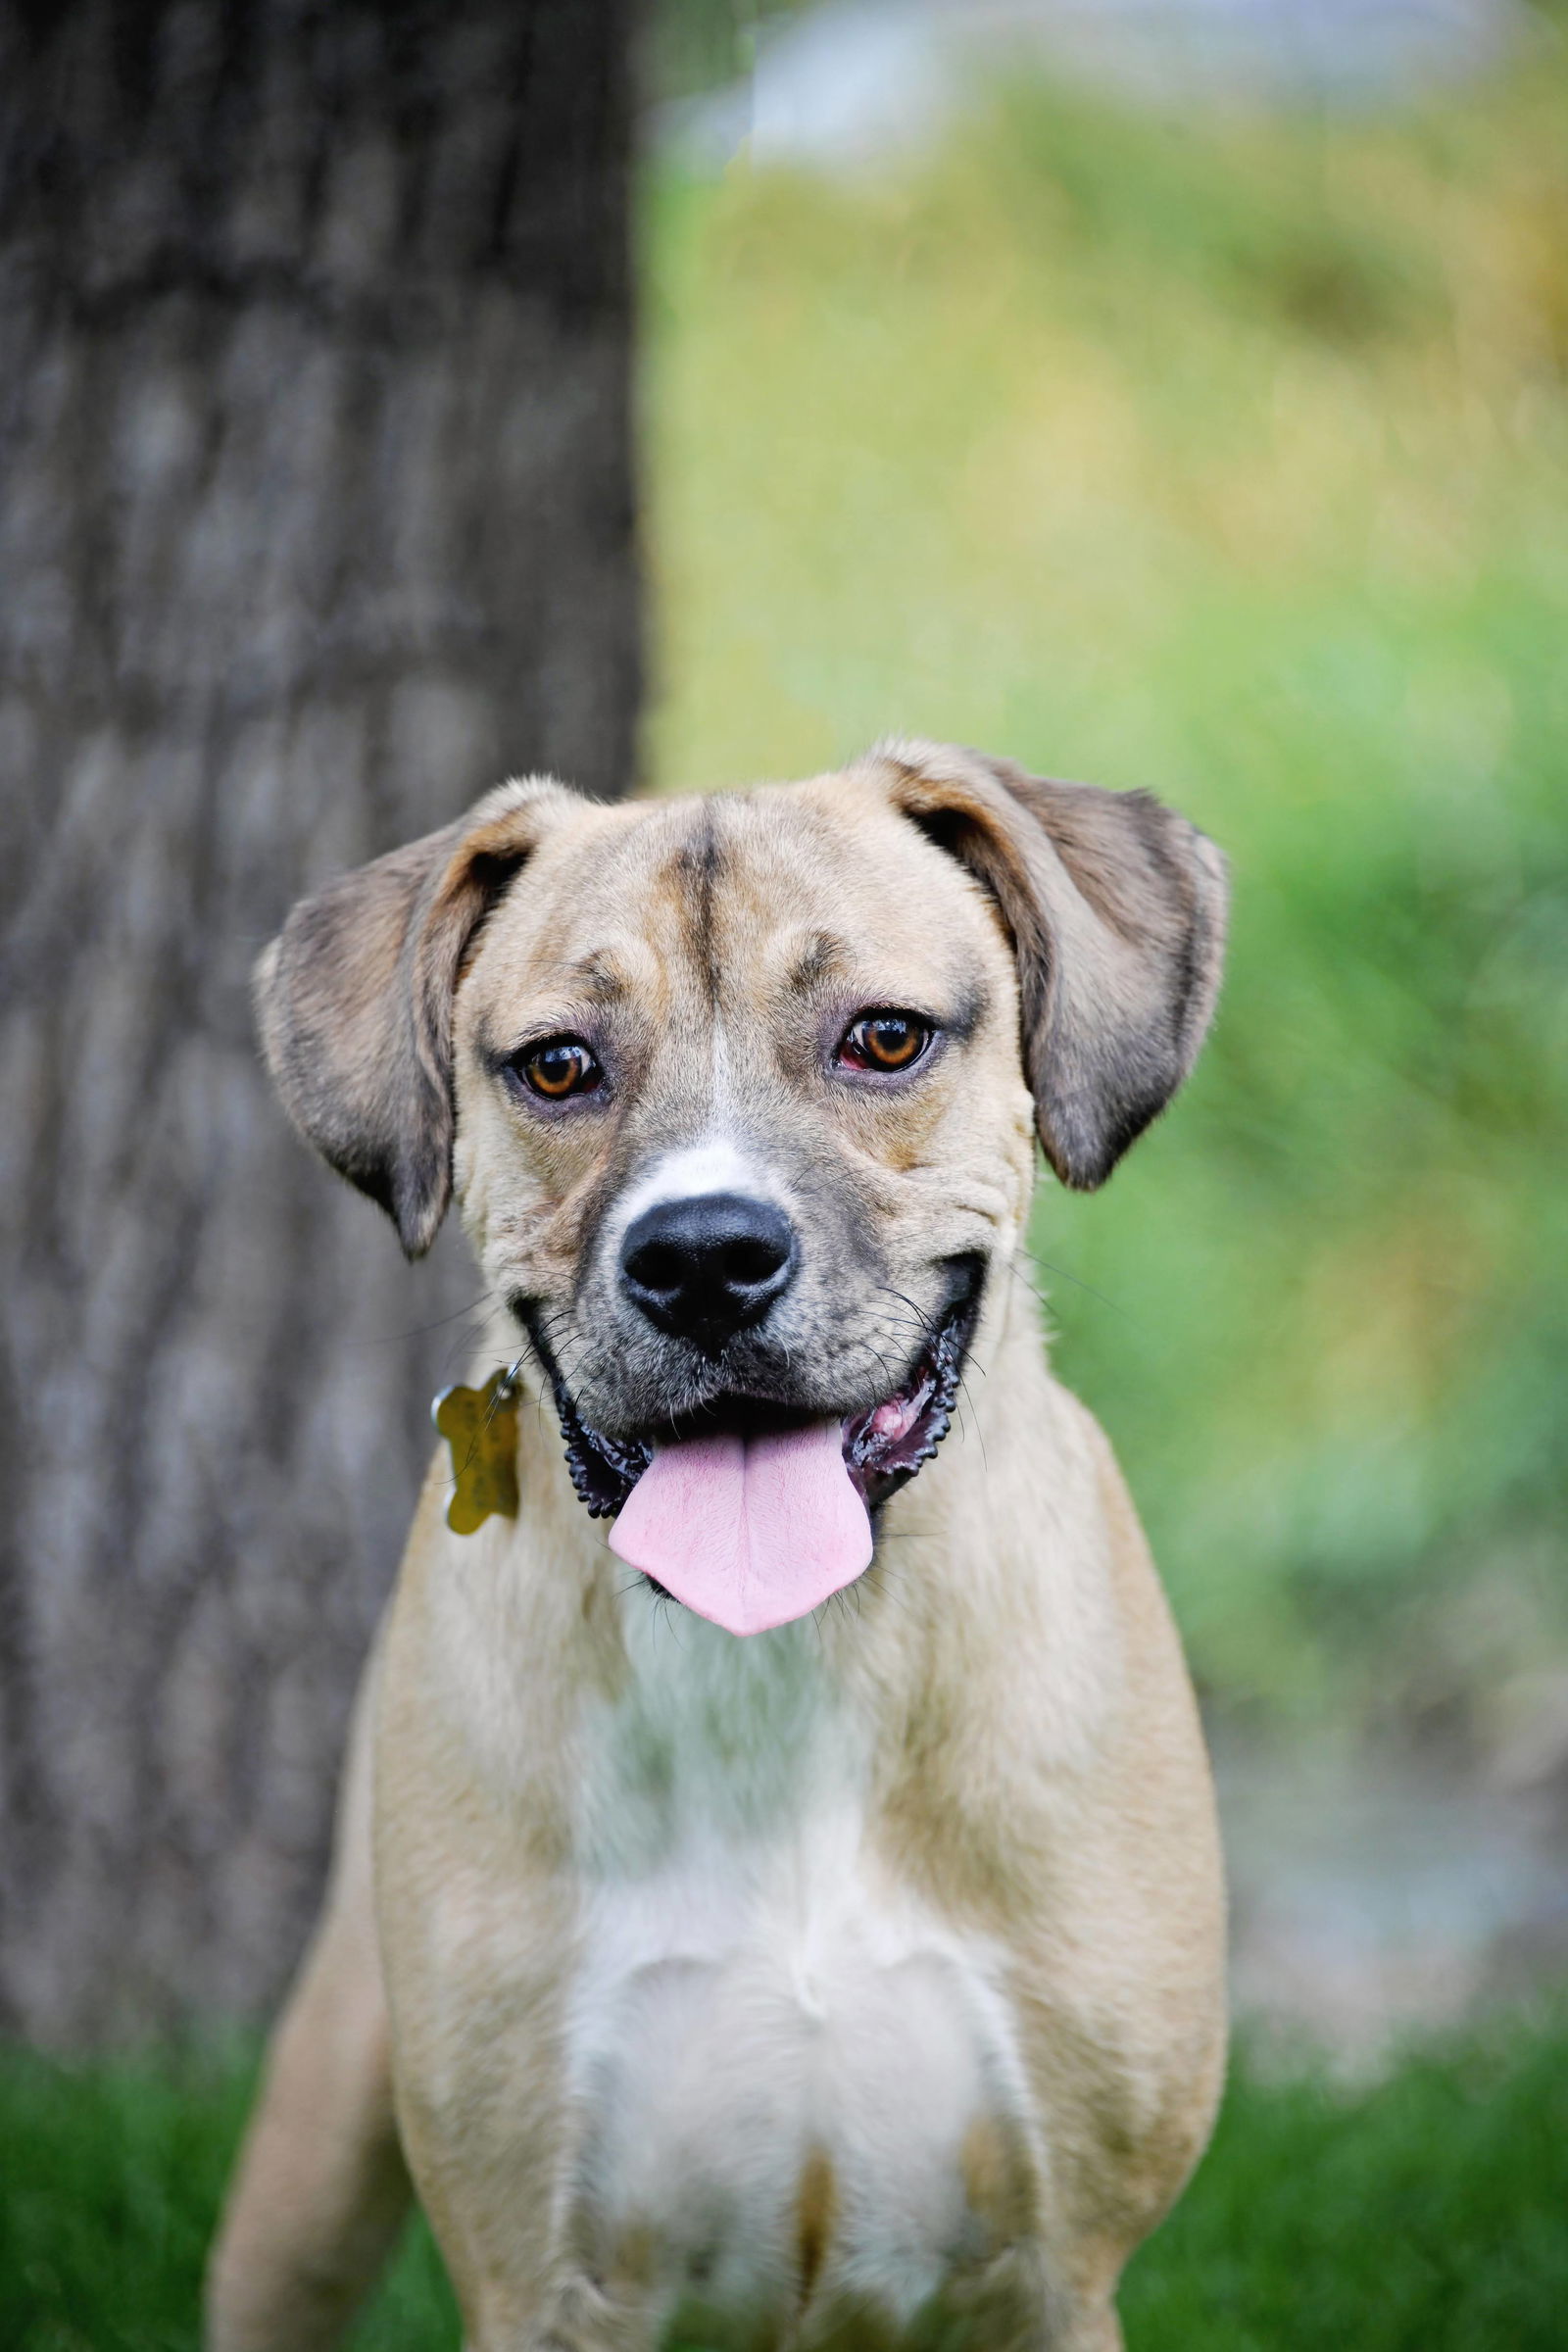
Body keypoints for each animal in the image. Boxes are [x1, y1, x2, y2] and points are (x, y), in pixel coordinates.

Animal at [208, 738, 1231, 2352]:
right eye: (557, 1064)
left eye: (884, 1039)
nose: (700, 1259)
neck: (787, 1653)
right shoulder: (538, 2276)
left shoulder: (1058, 2274)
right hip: (317, 2141)